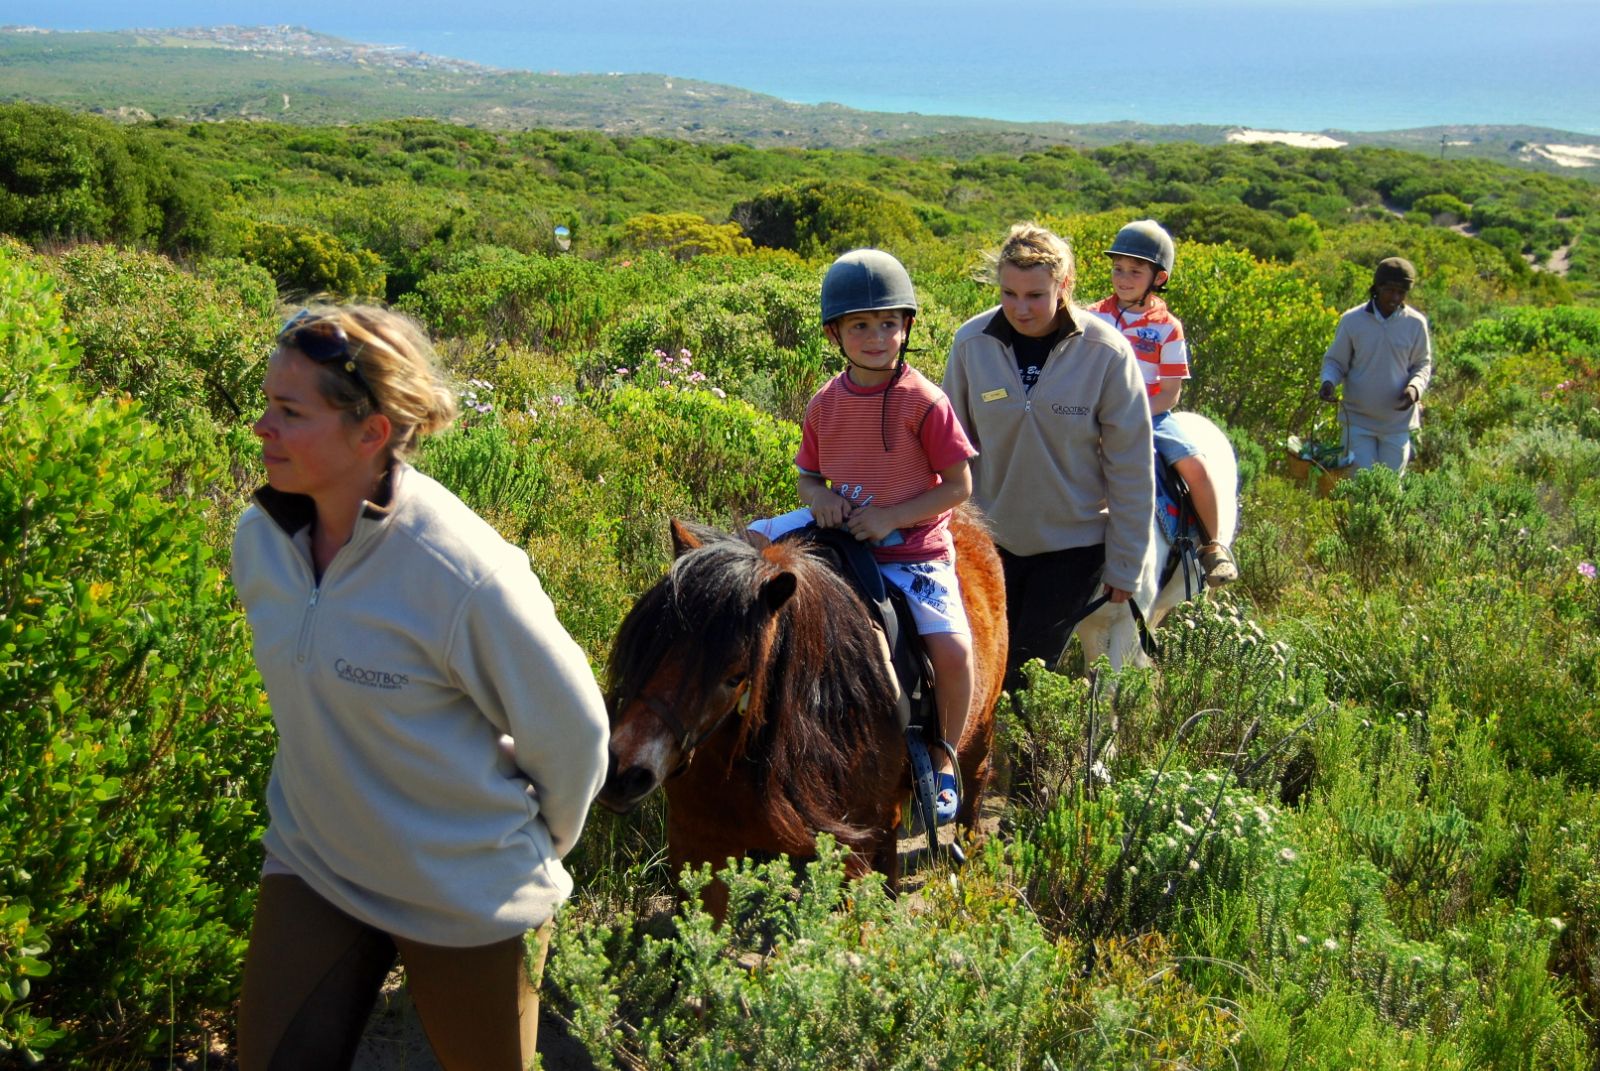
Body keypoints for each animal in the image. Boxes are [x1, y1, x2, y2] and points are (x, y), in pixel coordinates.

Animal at [597, 507, 1007, 917]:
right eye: (650, 642)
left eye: (735, 676)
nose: (622, 774)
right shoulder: (698, 846)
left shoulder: (851, 852)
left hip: (977, 730)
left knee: (973, 785)